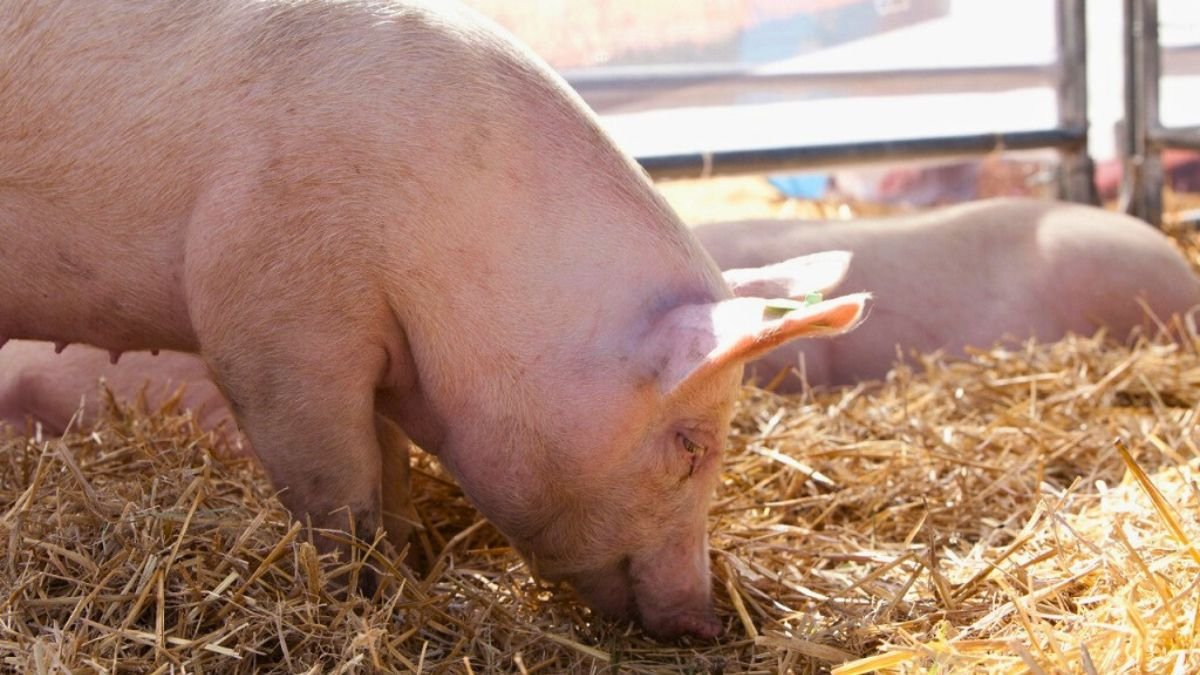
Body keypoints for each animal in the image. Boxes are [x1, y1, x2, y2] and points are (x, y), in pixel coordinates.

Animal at [0, 0, 867, 638]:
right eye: (690, 446)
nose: (705, 621)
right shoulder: (270, 319)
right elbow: (338, 485)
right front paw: (363, 589)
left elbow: (389, 462)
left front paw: (411, 556)